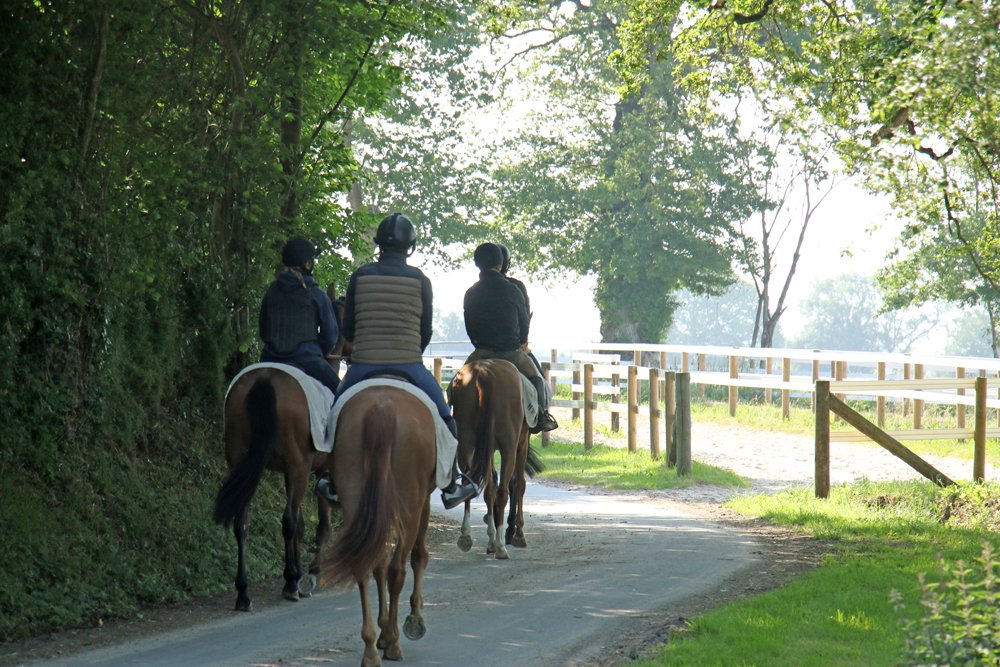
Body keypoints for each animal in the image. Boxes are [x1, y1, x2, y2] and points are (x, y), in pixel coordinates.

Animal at [211, 295, 346, 611]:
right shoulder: (315, 471)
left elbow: (300, 525)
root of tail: (264, 380)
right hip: (298, 469)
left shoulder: (290, 472)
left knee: (243, 523)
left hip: (243, 463)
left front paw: (297, 572)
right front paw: (308, 575)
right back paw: (289, 585)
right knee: (287, 521)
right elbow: (318, 525)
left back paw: (244, 592)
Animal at [321, 385, 436, 667]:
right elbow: (418, 555)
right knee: (397, 568)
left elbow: (378, 563)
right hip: (409, 502)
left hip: (354, 496)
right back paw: (394, 643)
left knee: (364, 564)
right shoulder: (422, 501)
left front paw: (383, 631)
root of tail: (382, 410)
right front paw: (412, 618)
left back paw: (371, 648)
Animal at [448, 358, 543, 559]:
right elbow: (519, 484)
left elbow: (488, 489)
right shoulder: (521, 445)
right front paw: (517, 534)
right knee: (503, 491)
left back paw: (467, 536)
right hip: (509, 447)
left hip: (466, 443)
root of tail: (485, 375)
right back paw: (501, 546)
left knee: (471, 484)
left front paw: (491, 539)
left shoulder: (488, 449)